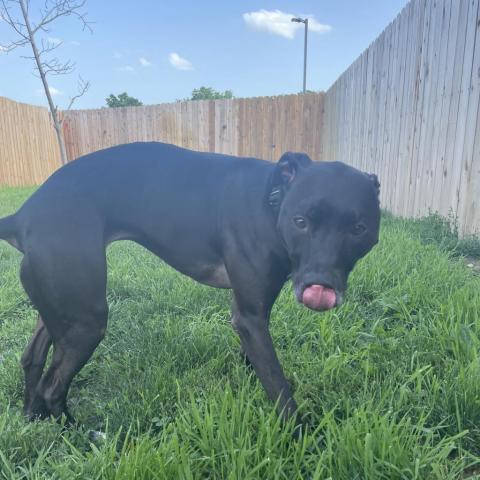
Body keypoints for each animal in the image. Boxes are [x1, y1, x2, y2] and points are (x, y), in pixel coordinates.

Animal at [0, 142, 380, 424]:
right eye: (301, 221)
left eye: (359, 228)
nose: (321, 287)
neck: (273, 200)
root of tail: (22, 216)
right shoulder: (251, 317)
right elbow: (278, 386)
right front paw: (301, 438)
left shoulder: (249, 316)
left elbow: (254, 362)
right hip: (86, 321)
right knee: (53, 386)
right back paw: (79, 434)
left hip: (59, 306)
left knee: (32, 358)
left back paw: (32, 417)